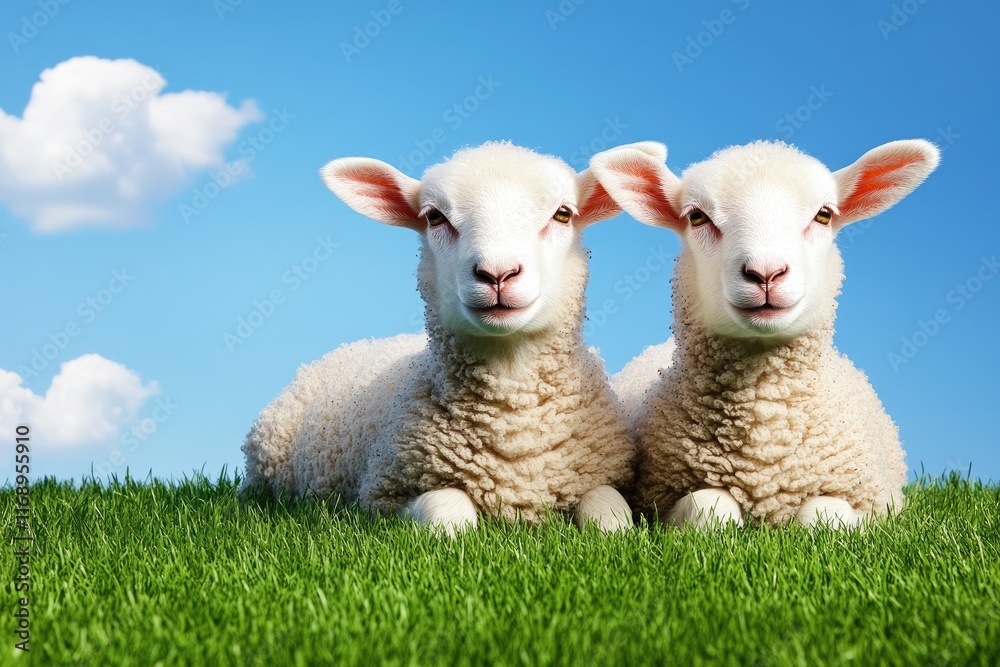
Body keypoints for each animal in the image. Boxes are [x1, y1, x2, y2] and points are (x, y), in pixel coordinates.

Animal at [241, 141, 655, 535]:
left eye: (563, 214)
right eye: (434, 217)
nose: (498, 273)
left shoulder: (598, 477)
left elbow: (612, 516)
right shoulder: (384, 494)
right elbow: (450, 514)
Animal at [591, 139, 940, 528]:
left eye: (824, 215)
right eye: (697, 217)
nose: (766, 273)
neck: (763, 431)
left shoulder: (872, 507)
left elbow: (822, 514)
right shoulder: (659, 502)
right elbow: (709, 507)